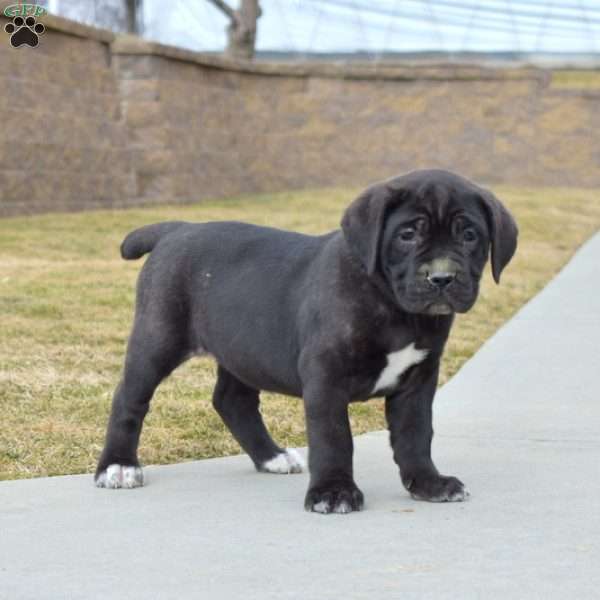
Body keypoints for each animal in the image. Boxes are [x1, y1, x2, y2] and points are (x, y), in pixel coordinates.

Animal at [96, 170, 516, 516]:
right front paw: (333, 493)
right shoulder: (326, 375)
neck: (395, 308)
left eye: (469, 235)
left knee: (232, 400)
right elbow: (333, 437)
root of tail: (176, 229)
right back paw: (118, 466)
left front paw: (429, 483)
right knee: (129, 397)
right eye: (407, 235)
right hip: (158, 337)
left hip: (243, 349)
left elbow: (416, 434)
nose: (442, 278)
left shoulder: (418, 379)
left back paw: (271, 457)